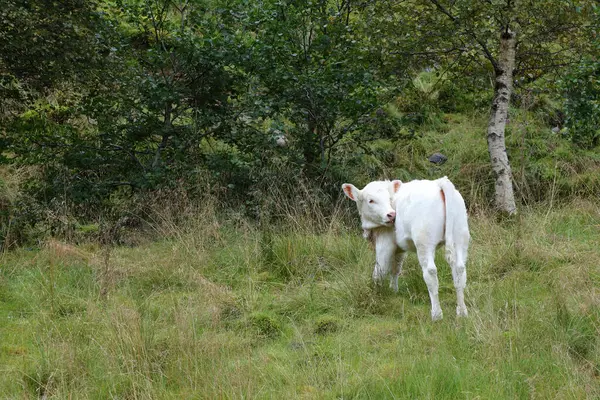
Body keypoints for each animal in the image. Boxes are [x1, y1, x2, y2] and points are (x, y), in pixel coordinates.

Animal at [342, 177, 468, 320]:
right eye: (371, 200)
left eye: (389, 198)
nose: (391, 214)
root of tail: (439, 182)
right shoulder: (399, 248)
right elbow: (396, 268)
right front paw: (393, 290)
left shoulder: (385, 243)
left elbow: (379, 271)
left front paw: (375, 294)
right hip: (460, 236)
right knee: (459, 270)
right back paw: (462, 312)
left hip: (424, 242)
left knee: (430, 273)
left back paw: (436, 315)